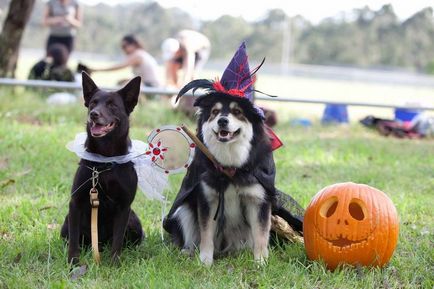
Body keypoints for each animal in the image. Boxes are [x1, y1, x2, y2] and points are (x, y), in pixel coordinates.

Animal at [61, 72, 144, 264]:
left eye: (112, 105)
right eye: (93, 103)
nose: (94, 114)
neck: (105, 161)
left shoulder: (124, 206)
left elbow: (118, 239)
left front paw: (114, 263)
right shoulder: (75, 203)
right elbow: (74, 239)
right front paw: (73, 263)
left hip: (134, 221)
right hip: (66, 222)